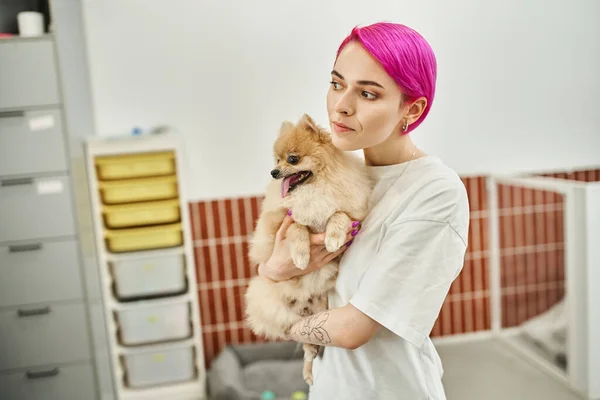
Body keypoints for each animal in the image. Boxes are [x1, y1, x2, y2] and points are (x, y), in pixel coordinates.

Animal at [245, 112, 376, 384]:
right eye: (276, 160)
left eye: (292, 159)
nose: (273, 172)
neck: (314, 190)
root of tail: (304, 303)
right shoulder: (281, 222)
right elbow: (297, 227)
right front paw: (301, 257)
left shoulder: (351, 212)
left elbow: (338, 215)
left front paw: (333, 238)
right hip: (275, 301)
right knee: (305, 342)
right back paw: (307, 371)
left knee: (311, 344)